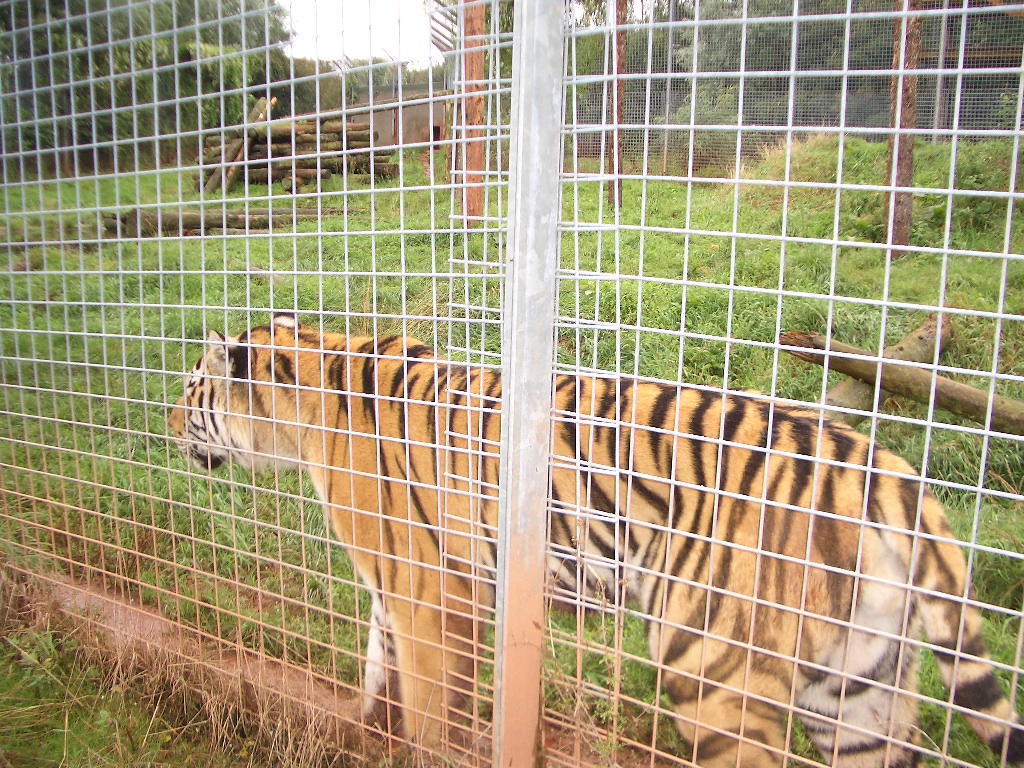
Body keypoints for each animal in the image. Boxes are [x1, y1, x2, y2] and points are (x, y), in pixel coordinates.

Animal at [168, 313, 1024, 767]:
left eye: (192, 388)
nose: (167, 421)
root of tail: (886, 473)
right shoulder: (414, 588)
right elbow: (382, 671)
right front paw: (361, 728)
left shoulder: (425, 591)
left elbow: (430, 705)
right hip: (857, 686)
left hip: (712, 665)